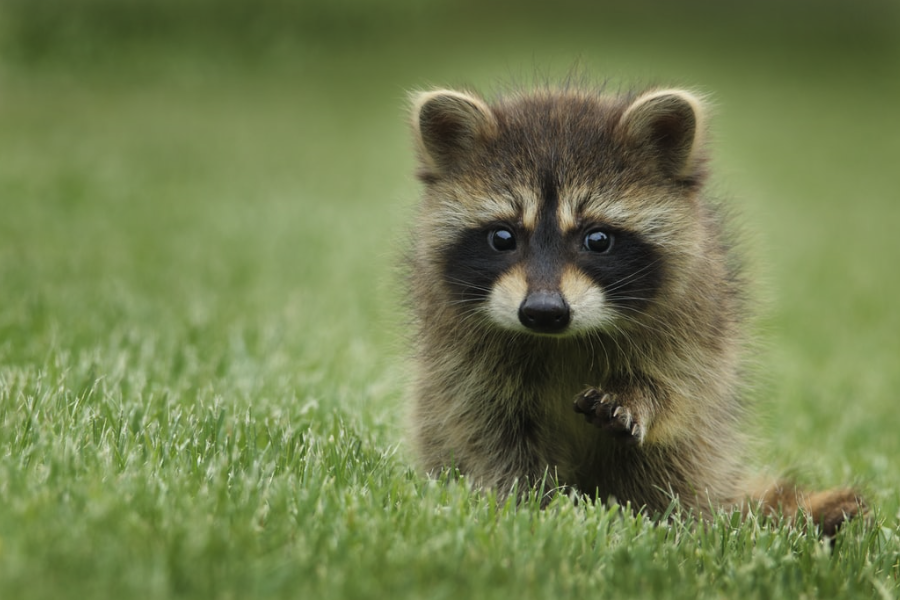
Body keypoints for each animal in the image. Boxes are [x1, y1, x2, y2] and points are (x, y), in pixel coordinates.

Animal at [406, 81, 864, 536]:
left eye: (597, 239)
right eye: (503, 237)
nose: (544, 311)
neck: (562, 339)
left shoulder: (696, 316)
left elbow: (677, 387)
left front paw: (638, 397)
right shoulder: (460, 353)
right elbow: (488, 429)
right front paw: (528, 504)